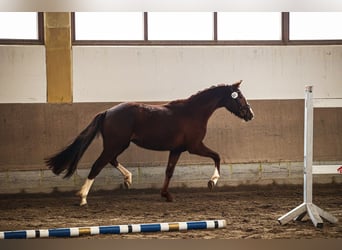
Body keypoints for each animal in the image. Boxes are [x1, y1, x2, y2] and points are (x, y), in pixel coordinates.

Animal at [44, 80, 254, 205]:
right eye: (240, 97)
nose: (250, 114)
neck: (193, 112)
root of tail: (108, 112)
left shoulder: (177, 150)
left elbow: (169, 171)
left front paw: (166, 195)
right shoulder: (194, 147)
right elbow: (217, 156)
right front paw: (212, 181)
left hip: (118, 145)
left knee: (111, 161)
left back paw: (128, 179)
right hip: (116, 144)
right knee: (98, 165)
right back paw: (83, 197)